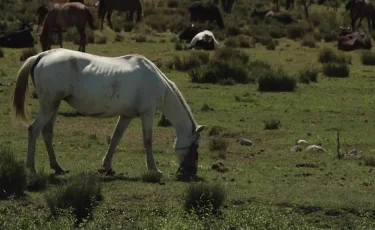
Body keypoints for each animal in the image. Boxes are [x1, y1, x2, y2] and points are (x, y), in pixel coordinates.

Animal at [11, 48, 207, 178]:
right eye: (195, 145)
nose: (191, 171)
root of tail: (42, 55)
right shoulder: (148, 113)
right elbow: (148, 141)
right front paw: (154, 169)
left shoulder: (127, 116)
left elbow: (115, 139)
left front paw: (107, 167)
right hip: (49, 105)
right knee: (34, 130)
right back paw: (31, 168)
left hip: (53, 105)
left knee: (47, 132)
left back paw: (57, 167)